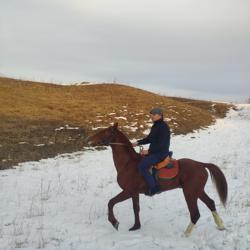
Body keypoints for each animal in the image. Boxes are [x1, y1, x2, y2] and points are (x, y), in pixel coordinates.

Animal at [86, 122, 229, 236]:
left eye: (106, 131)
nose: (89, 139)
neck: (128, 164)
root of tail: (201, 164)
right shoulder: (134, 193)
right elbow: (136, 209)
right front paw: (136, 226)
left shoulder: (128, 191)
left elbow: (111, 202)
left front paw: (114, 222)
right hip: (197, 191)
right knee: (210, 203)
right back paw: (221, 226)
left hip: (190, 192)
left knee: (195, 214)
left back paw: (186, 234)